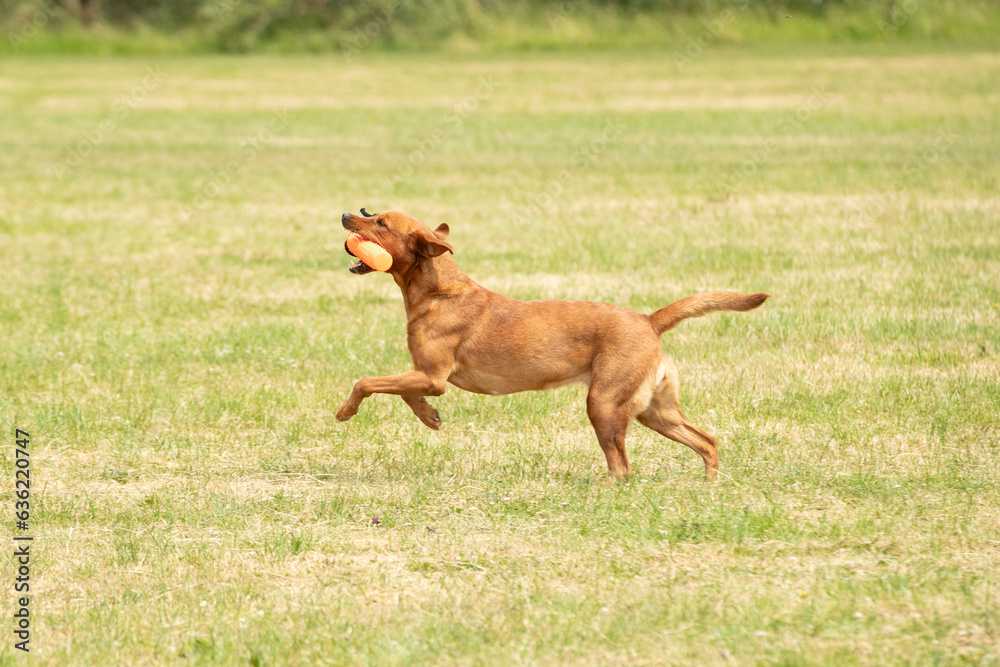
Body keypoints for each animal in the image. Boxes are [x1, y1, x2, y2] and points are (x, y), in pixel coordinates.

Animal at [336, 211, 764, 478]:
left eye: (380, 221)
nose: (345, 215)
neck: (437, 289)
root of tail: (648, 320)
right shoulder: (425, 375)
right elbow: (403, 393)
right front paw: (429, 417)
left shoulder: (432, 375)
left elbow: (366, 382)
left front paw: (346, 411)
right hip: (654, 410)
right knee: (707, 441)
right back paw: (709, 486)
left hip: (604, 403)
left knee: (622, 467)